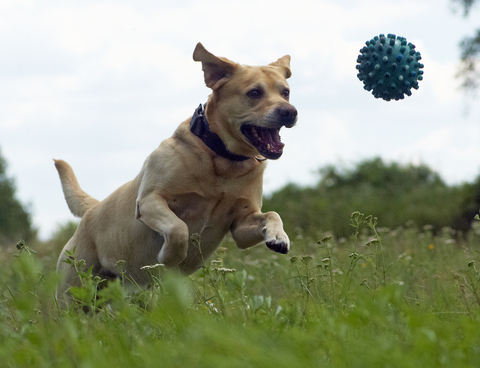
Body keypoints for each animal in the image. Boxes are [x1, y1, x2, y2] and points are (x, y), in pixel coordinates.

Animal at [54, 43, 298, 302]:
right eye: (254, 93)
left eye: (285, 92)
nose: (290, 112)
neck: (223, 160)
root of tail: (92, 209)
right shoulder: (150, 201)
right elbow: (178, 228)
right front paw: (169, 257)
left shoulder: (240, 224)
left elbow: (272, 214)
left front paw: (279, 237)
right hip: (74, 290)